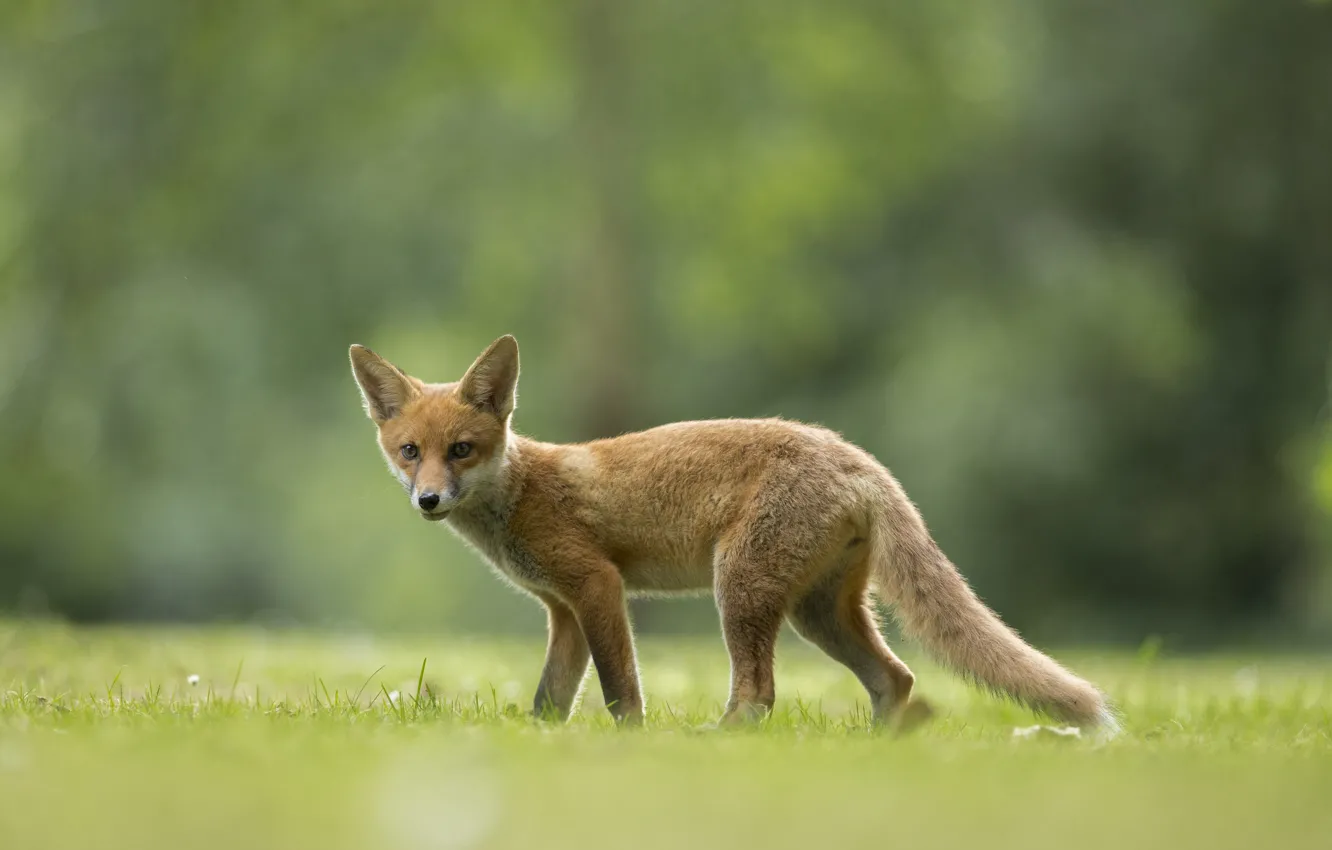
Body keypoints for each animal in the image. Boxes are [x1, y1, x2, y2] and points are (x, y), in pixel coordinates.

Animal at [348, 335, 1118, 735]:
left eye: (463, 450)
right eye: (411, 451)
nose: (428, 499)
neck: (520, 492)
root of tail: (857, 458)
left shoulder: (597, 585)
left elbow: (621, 691)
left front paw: (631, 747)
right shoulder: (562, 611)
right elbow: (549, 700)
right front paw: (540, 745)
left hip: (740, 589)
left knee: (759, 695)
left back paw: (714, 744)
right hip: (817, 613)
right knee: (895, 678)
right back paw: (877, 751)